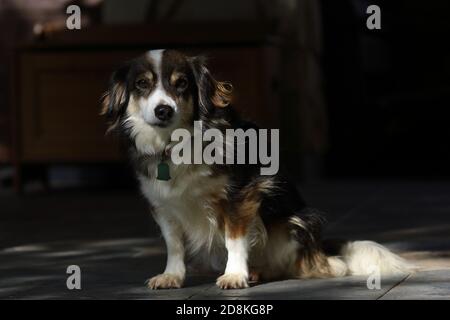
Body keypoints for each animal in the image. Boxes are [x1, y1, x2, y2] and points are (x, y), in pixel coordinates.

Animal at [101, 48, 412, 290]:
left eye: (182, 84)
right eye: (142, 85)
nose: (163, 110)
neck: (176, 143)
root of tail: (318, 248)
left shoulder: (240, 196)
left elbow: (234, 239)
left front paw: (235, 275)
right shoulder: (163, 205)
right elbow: (174, 244)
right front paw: (172, 276)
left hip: (296, 223)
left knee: (319, 266)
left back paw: (261, 272)